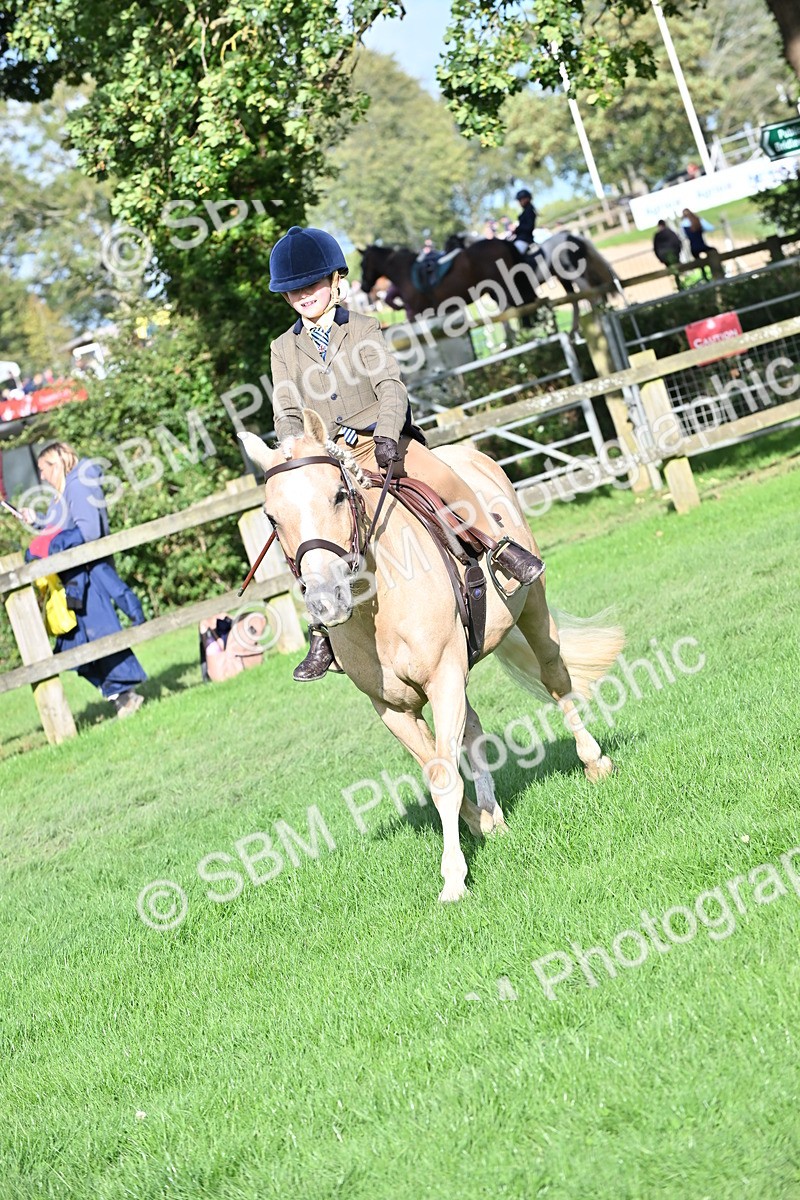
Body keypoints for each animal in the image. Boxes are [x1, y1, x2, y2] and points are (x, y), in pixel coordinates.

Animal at [241, 413, 624, 903]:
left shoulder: (443, 678)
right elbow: (438, 771)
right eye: (272, 516)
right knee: (474, 726)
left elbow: (444, 779)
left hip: (533, 609)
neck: (378, 603)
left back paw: (594, 761)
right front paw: (482, 824)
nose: (327, 601)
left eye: (339, 494)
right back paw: (493, 810)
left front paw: (454, 878)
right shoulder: (393, 707)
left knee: (556, 678)